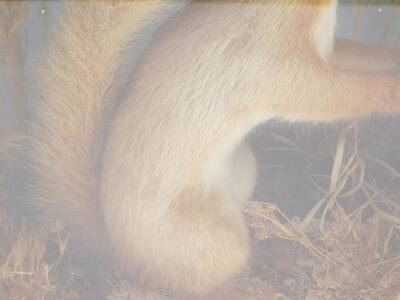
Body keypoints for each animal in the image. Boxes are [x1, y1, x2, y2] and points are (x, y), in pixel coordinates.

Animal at [32, 0, 400, 298]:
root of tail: (117, 252)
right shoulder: (271, 57)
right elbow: (331, 93)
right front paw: (390, 90)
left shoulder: (328, 49)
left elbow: (360, 56)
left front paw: (391, 57)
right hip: (209, 235)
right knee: (200, 285)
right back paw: (253, 289)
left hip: (244, 171)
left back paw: (274, 257)